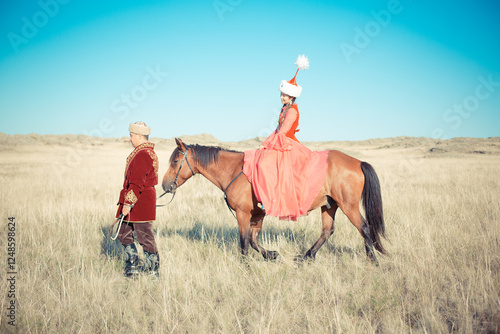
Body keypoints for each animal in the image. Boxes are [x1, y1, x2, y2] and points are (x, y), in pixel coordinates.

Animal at [162, 139, 384, 264]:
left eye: (175, 161)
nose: (165, 186)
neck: (236, 171)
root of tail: (358, 162)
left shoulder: (243, 213)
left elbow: (244, 241)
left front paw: (245, 265)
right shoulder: (257, 214)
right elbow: (253, 240)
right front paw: (271, 255)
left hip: (349, 206)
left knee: (364, 227)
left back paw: (372, 260)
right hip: (329, 206)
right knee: (327, 231)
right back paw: (306, 257)